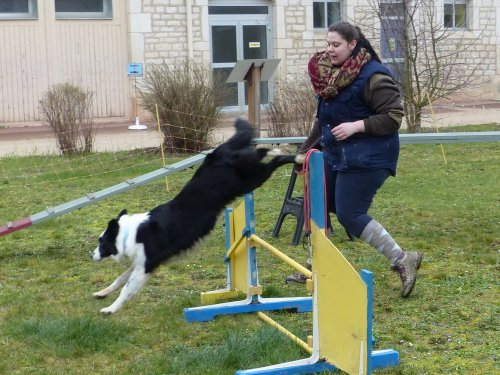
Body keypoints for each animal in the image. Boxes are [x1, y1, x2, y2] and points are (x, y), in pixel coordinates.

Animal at [92, 119, 302, 314]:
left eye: (101, 242)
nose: (91, 255)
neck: (130, 233)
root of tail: (217, 154)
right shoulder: (140, 263)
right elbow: (120, 279)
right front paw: (102, 293)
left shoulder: (146, 266)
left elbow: (126, 289)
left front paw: (110, 309)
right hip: (249, 176)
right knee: (261, 153)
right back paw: (277, 150)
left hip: (251, 180)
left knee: (272, 159)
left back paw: (294, 156)